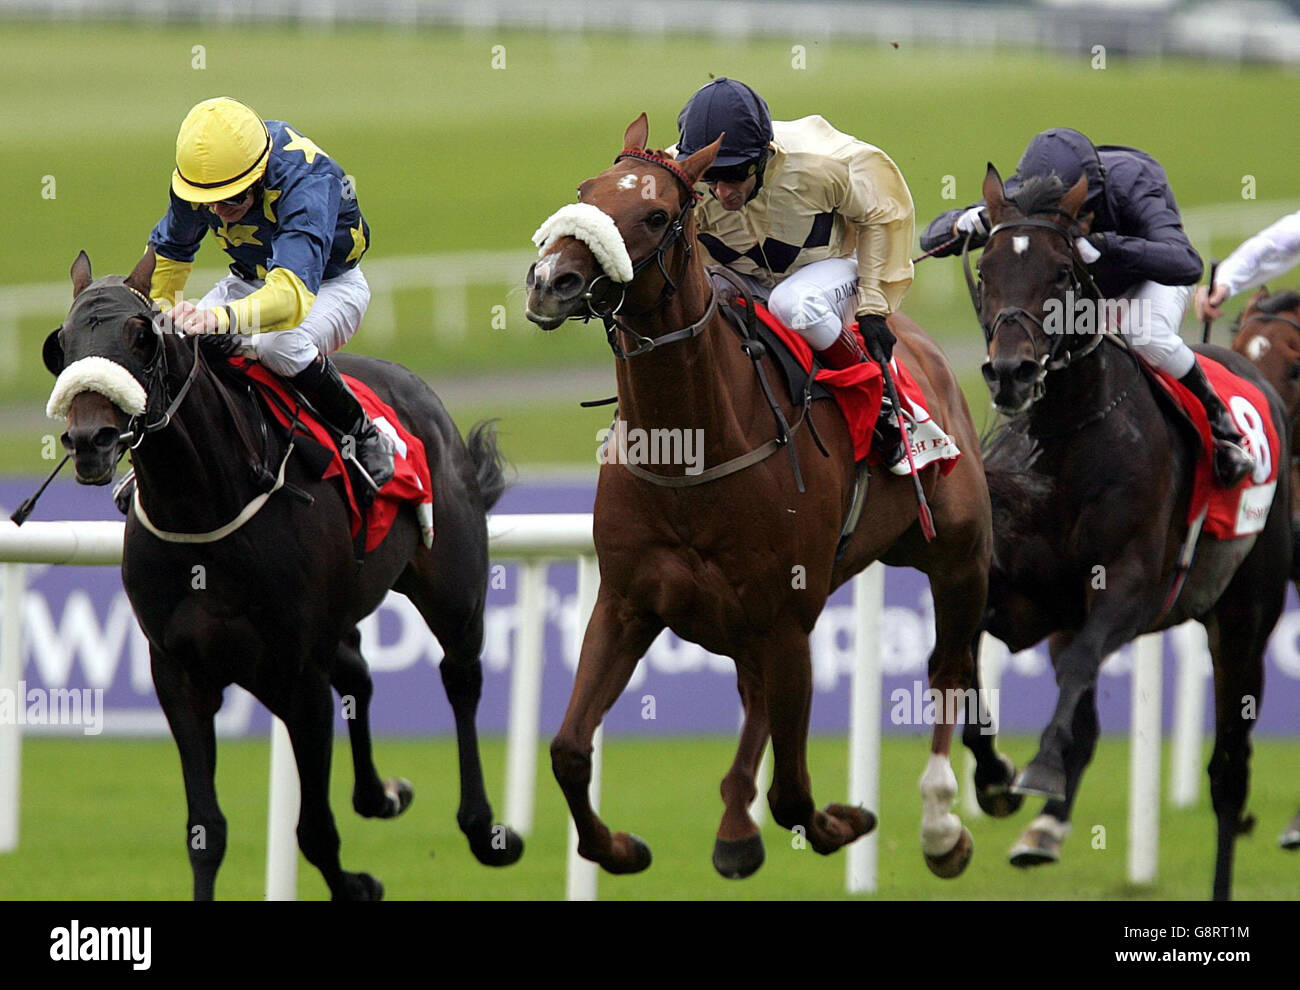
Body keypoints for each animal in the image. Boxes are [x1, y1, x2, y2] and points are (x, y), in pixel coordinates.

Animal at [45, 250, 522, 899]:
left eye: (141, 338)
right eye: (62, 344)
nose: (88, 439)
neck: (204, 510)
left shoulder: (297, 676)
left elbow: (314, 828)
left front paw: (356, 884)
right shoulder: (179, 672)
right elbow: (206, 830)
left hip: (454, 587)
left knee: (461, 677)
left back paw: (485, 829)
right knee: (358, 674)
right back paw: (381, 795)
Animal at [522, 115, 987, 878]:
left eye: (655, 214)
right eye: (585, 191)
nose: (549, 281)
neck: (691, 456)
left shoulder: (786, 620)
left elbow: (795, 794)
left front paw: (846, 820)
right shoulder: (628, 602)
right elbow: (567, 749)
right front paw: (618, 848)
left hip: (957, 553)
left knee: (950, 668)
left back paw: (944, 821)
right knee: (757, 702)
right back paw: (737, 825)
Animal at [961, 165, 1294, 899]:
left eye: (1061, 271)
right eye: (986, 269)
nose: (1011, 372)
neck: (1067, 436)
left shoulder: (1132, 589)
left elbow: (1082, 662)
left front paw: (1036, 769)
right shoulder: (1024, 598)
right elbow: (960, 657)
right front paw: (994, 779)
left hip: (1245, 618)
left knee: (1229, 773)